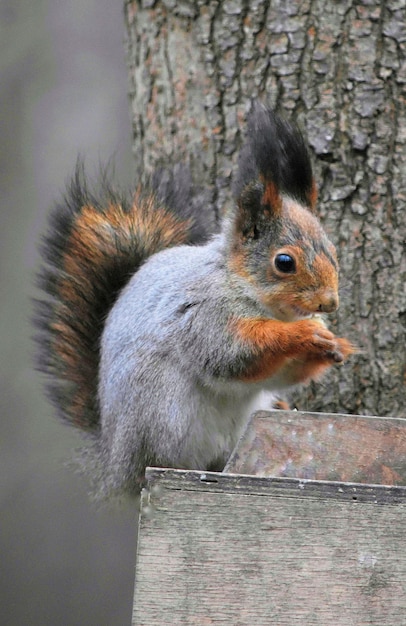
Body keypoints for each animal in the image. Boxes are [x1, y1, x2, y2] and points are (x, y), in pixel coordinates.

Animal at [35, 106, 356, 498]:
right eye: (284, 262)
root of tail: (115, 461)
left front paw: (334, 345)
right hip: (161, 413)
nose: (329, 304)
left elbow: (280, 375)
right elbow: (232, 355)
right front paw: (304, 334)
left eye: (333, 250)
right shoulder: (203, 314)